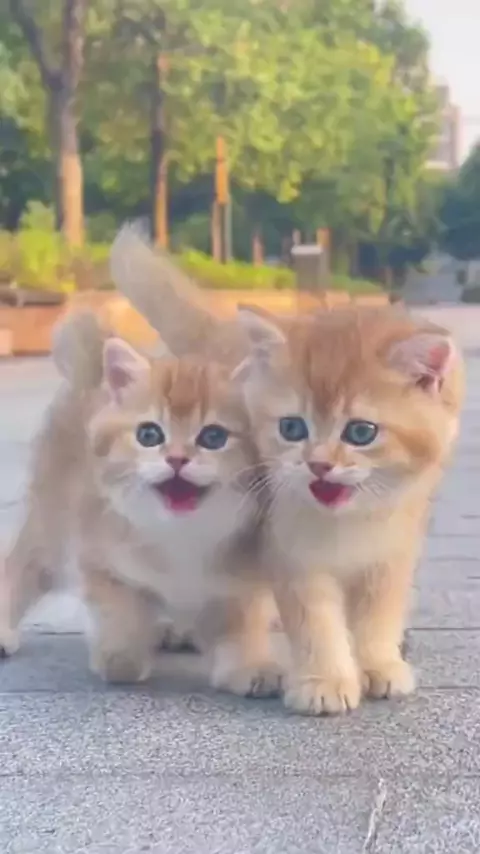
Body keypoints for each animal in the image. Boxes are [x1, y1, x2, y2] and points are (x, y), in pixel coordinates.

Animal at [0, 311, 280, 696]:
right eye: (149, 435)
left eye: (214, 437)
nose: (176, 459)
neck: (182, 536)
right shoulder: (101, 559)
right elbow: (121, 615)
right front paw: (121, 658)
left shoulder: (243, 580)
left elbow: (241, 629)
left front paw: (250, 668)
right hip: (51, 521)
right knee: (24, 568)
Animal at [109, 225, 464, 714]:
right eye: (292, 427)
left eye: (361, 432)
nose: (318, 464)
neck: (347, 523)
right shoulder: (289, 551)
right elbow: (314, 620)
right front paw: (324, 681)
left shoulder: (392, 548)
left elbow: (378, 613)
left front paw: (378, 664)